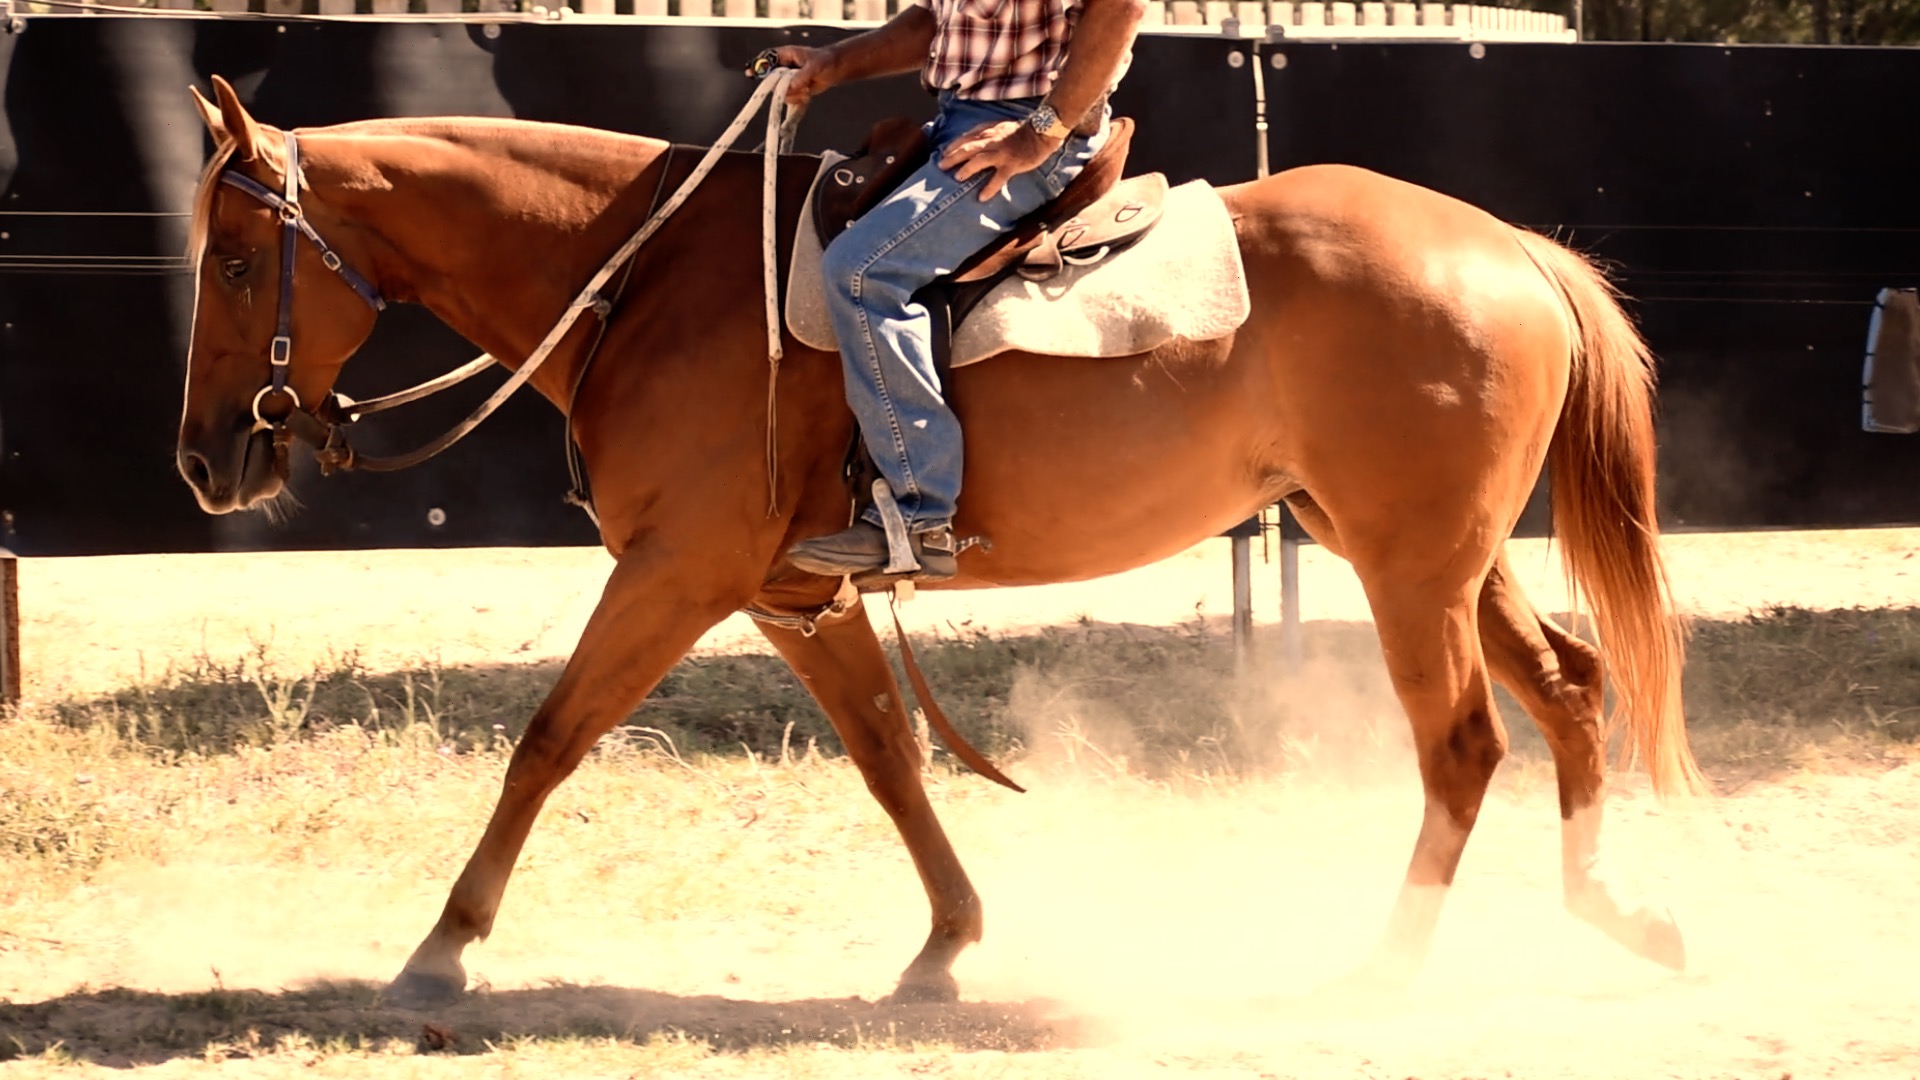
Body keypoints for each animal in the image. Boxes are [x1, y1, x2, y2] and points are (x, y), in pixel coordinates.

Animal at [176, 73, 1704, 1007]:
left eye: (237, 263)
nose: (205, 459)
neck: (651, 281)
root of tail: (1510, 248)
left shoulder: (676, 572)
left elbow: (549, 739)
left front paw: (442, 948)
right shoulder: (794, 597)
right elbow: (889, 761)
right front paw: (947, 946)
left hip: (1409, 570)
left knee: (1465, 743)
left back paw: (1387, 966)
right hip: (1431, 554)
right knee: (1569, 686)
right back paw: (1616, 910)